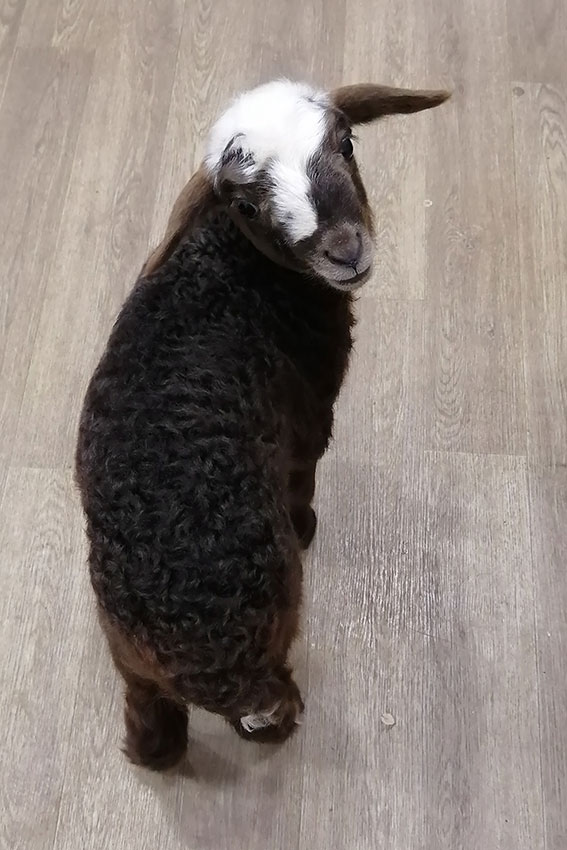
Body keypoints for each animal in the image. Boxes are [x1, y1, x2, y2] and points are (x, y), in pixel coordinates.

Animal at [75, 79, 449, 771]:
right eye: (247, 204)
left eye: (346, 143)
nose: (346, 251)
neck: (234, 267)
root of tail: (213, 662)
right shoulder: (310, 408)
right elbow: (305, 472)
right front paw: (308, 528)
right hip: (276, 626)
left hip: (129, 659)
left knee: (150, 722)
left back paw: (150, 752)